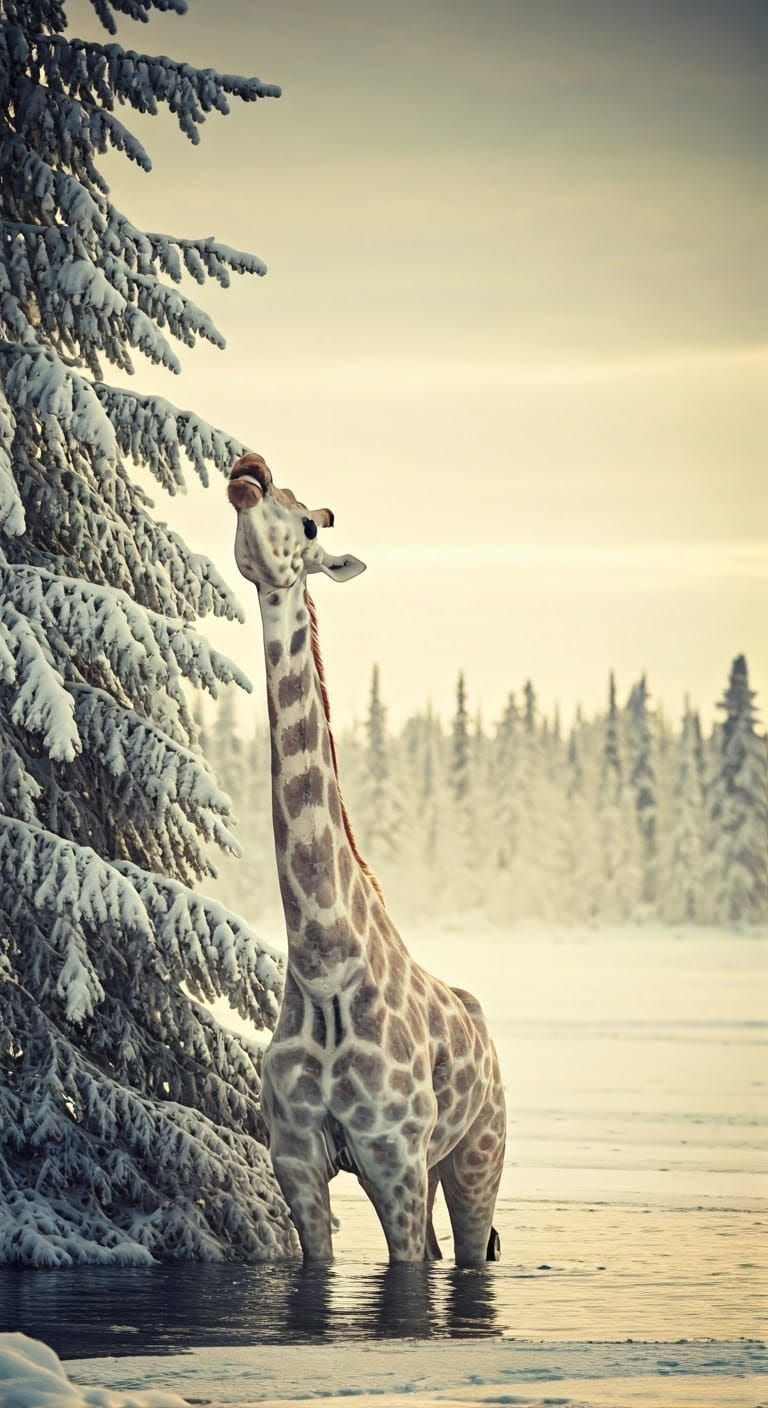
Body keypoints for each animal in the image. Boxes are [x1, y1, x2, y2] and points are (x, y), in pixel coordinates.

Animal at [227, 452, 506, 1266]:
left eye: (308, 523)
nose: (248, 469)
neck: (324, 963)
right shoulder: (295, 1161)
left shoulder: (393, 1159)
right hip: (441, 1164)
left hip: (476, 1157)